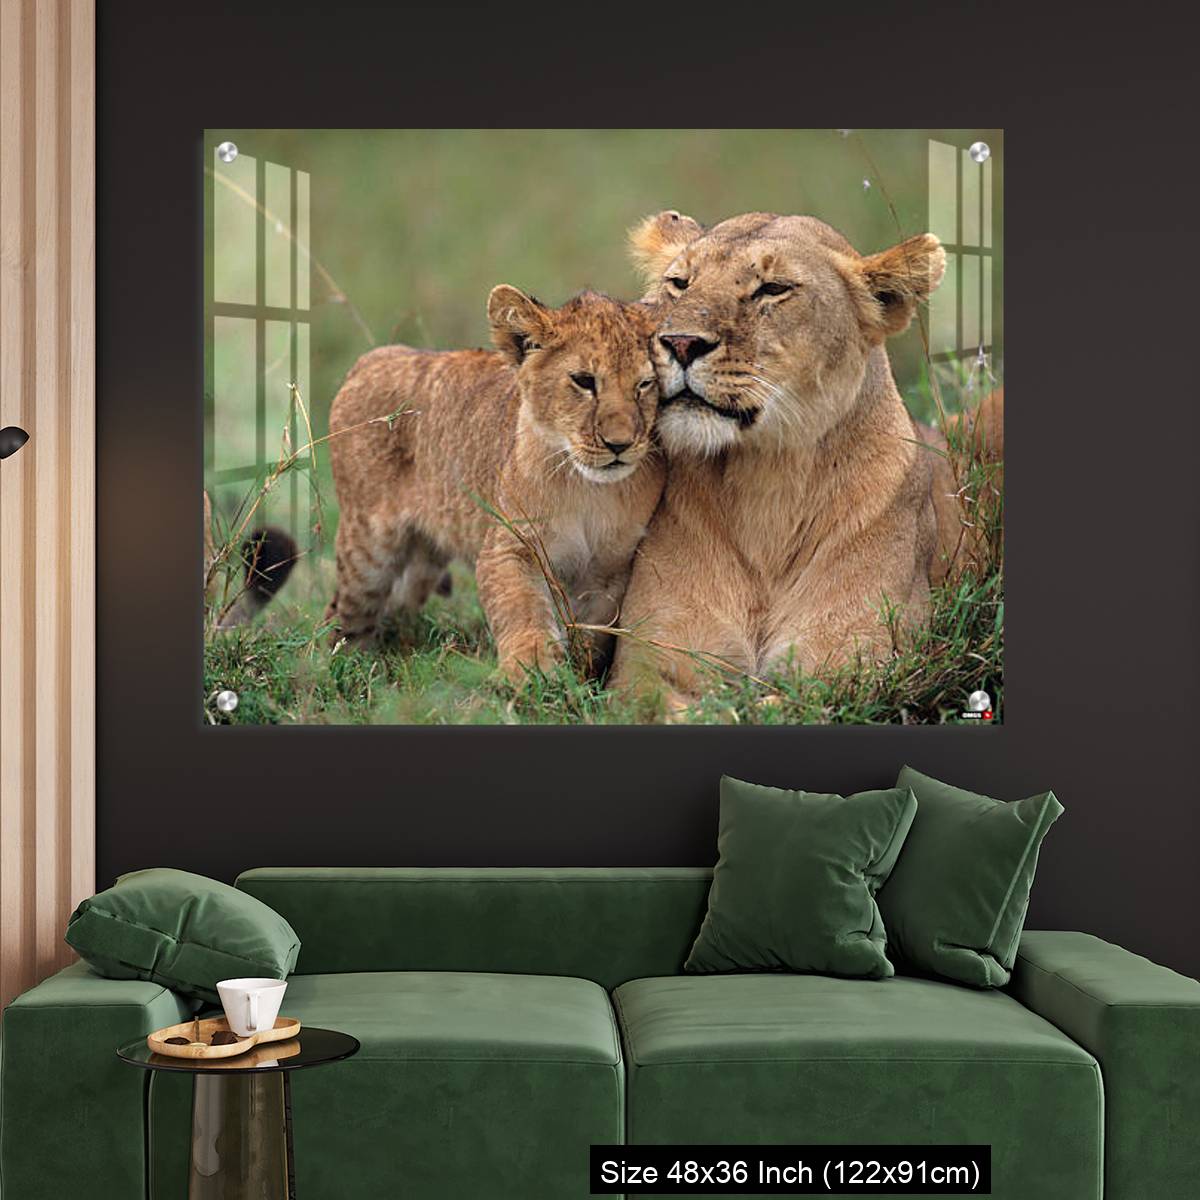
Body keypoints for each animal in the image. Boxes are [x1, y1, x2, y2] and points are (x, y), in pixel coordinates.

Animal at [325, 287, 664, 681]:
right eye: (583, 380)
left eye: (644, 384)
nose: (619, 445)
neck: (589, 489)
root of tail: (372, 358)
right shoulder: (510, 546)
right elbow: (522, 609)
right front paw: (531, 670)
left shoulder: (610, 571)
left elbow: (591, 634)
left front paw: (579, 678)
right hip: (367, 548)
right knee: (343, 612)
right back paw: (338, 665)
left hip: (425, 558)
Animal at [611, 210, 955, 708]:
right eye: (679, 283)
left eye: (772, 289)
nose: (679, 342)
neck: (766, 481)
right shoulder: (646, 663)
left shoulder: (856, 663)